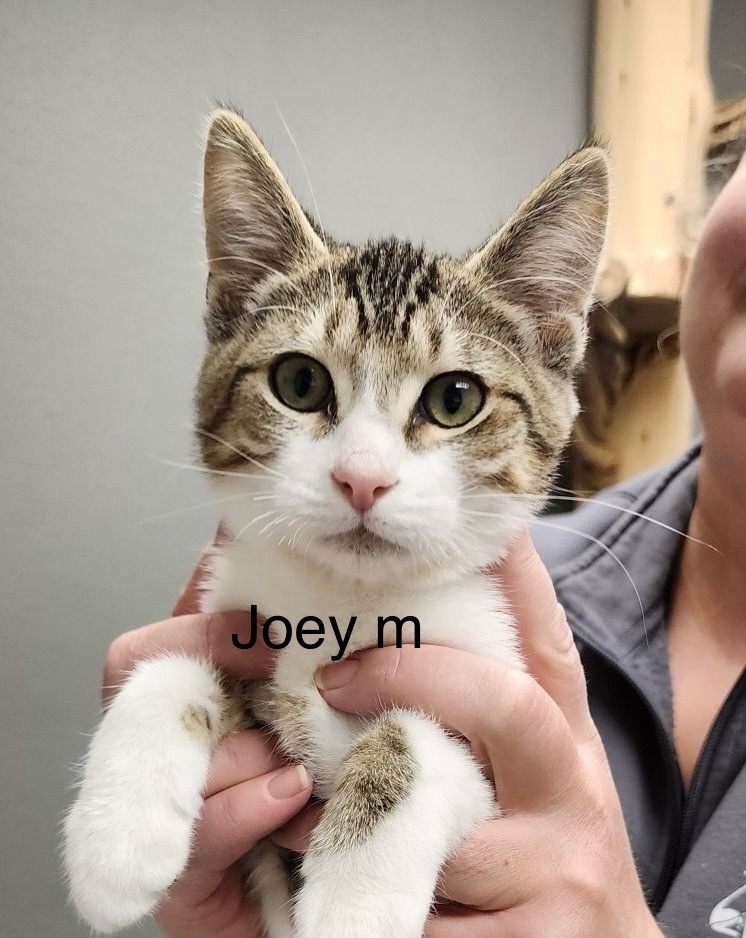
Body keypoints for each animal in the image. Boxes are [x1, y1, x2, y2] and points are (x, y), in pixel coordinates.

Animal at [64, 111, 608, 936]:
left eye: (455, 398)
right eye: (298, 381)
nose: (362, 477)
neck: (345, 606)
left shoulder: (494, 738)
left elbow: (415, 738)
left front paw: (357, 900)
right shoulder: (243, 623)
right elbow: (174, 661)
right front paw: (117, 838)